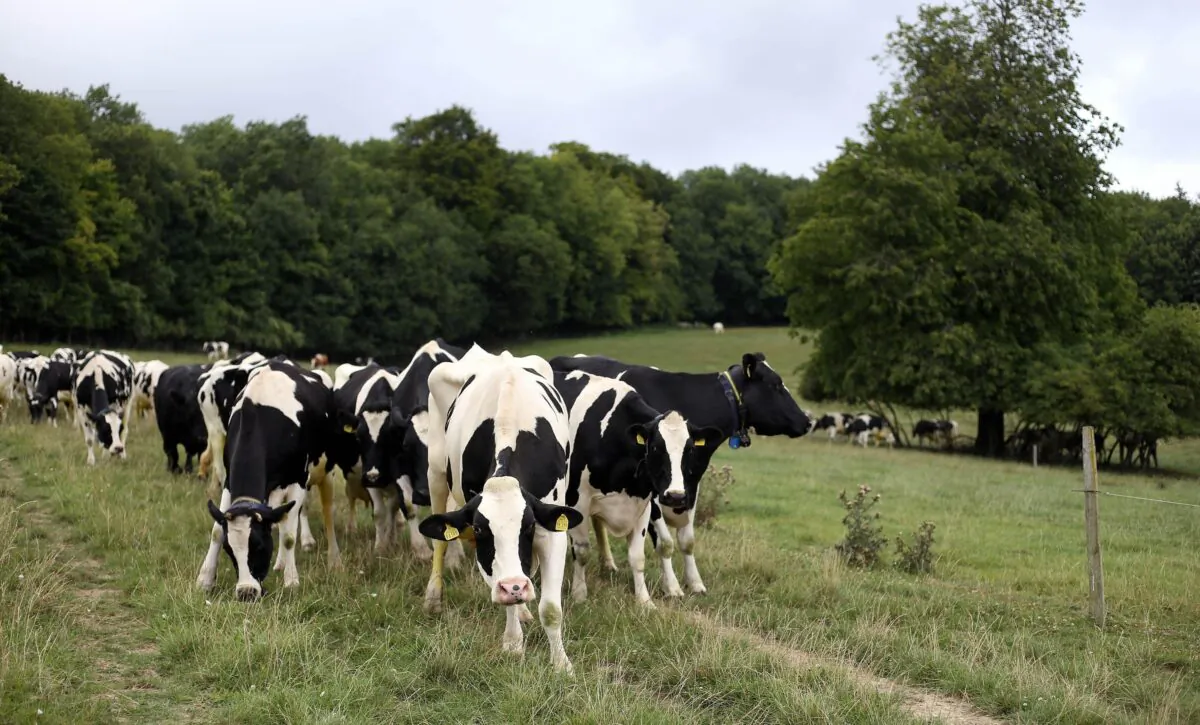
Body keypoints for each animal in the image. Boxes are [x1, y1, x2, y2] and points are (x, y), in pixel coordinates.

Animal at [196, 361, 340, 600]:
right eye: (229, 550)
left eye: (260, 547)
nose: (246, 593)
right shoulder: (229, 483)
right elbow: (217, 530)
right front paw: (205, 579)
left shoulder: (298, 481)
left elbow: (289, 536)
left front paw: (292, 582)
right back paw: (281, 563)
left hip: (326, 471)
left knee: (327, 512)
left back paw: (334, 558)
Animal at [418, 347, 583, 672]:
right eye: (480, 529)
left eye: (528, 526)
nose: (516, 586)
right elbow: (500, 587)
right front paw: (513, 644)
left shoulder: (551, 530)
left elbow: (551, 608)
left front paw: (562, 664)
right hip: (435, 470)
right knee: (440, 543)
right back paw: (433, 598)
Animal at [553, 369, 721, 607]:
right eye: (656, 447)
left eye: (689, 450)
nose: (676, 497)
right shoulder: (577, 501)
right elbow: (582, 551)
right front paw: (579, 594)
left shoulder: (642, 505)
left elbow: (637, 557)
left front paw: (644, 600)